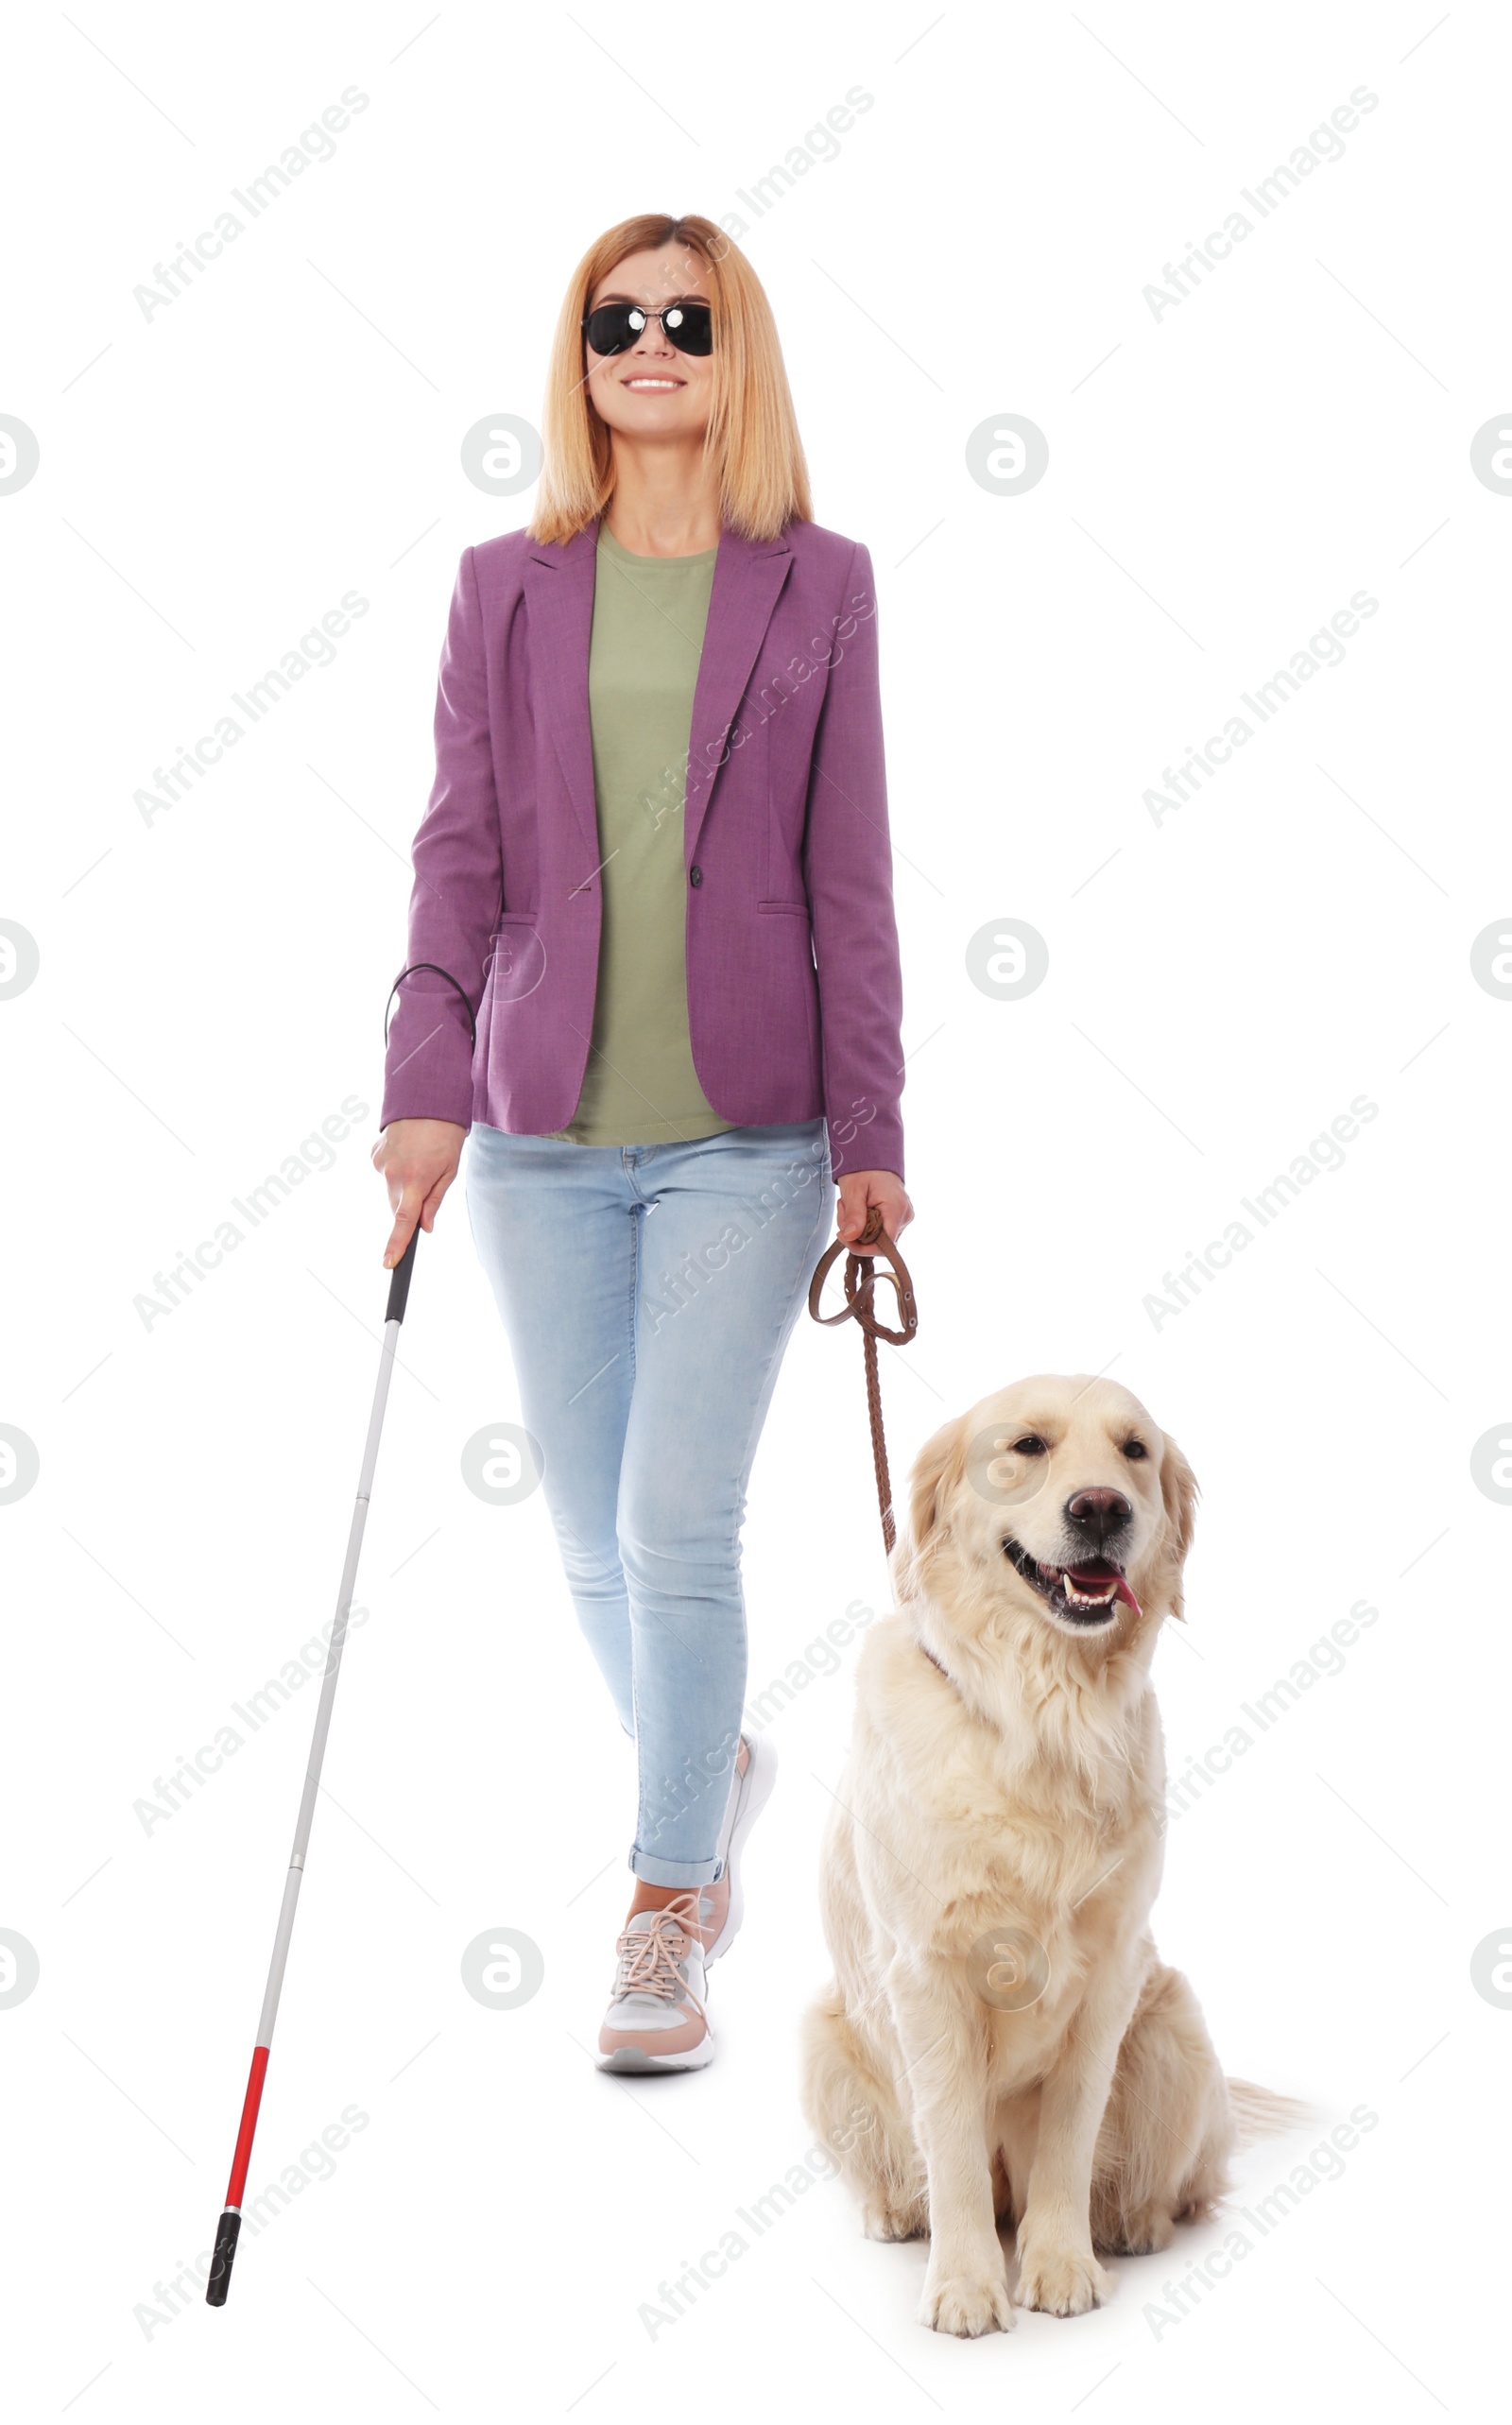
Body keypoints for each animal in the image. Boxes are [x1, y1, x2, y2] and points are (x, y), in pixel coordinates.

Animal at [799, 1377, 1269, 2337]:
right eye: (1026, 1446)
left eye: (1135, 1451)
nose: (1101, 1508)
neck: (1043, 1712)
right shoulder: (926, 1973)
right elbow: (950, 2147)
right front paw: (966, 2286)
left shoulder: (1112, 1973)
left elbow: (1068, 2138)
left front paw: (1060, 2267)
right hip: (822, 2039)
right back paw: (896, 2214)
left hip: (1174, 2022)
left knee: (1177, 2184)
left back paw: (1132, 2224)